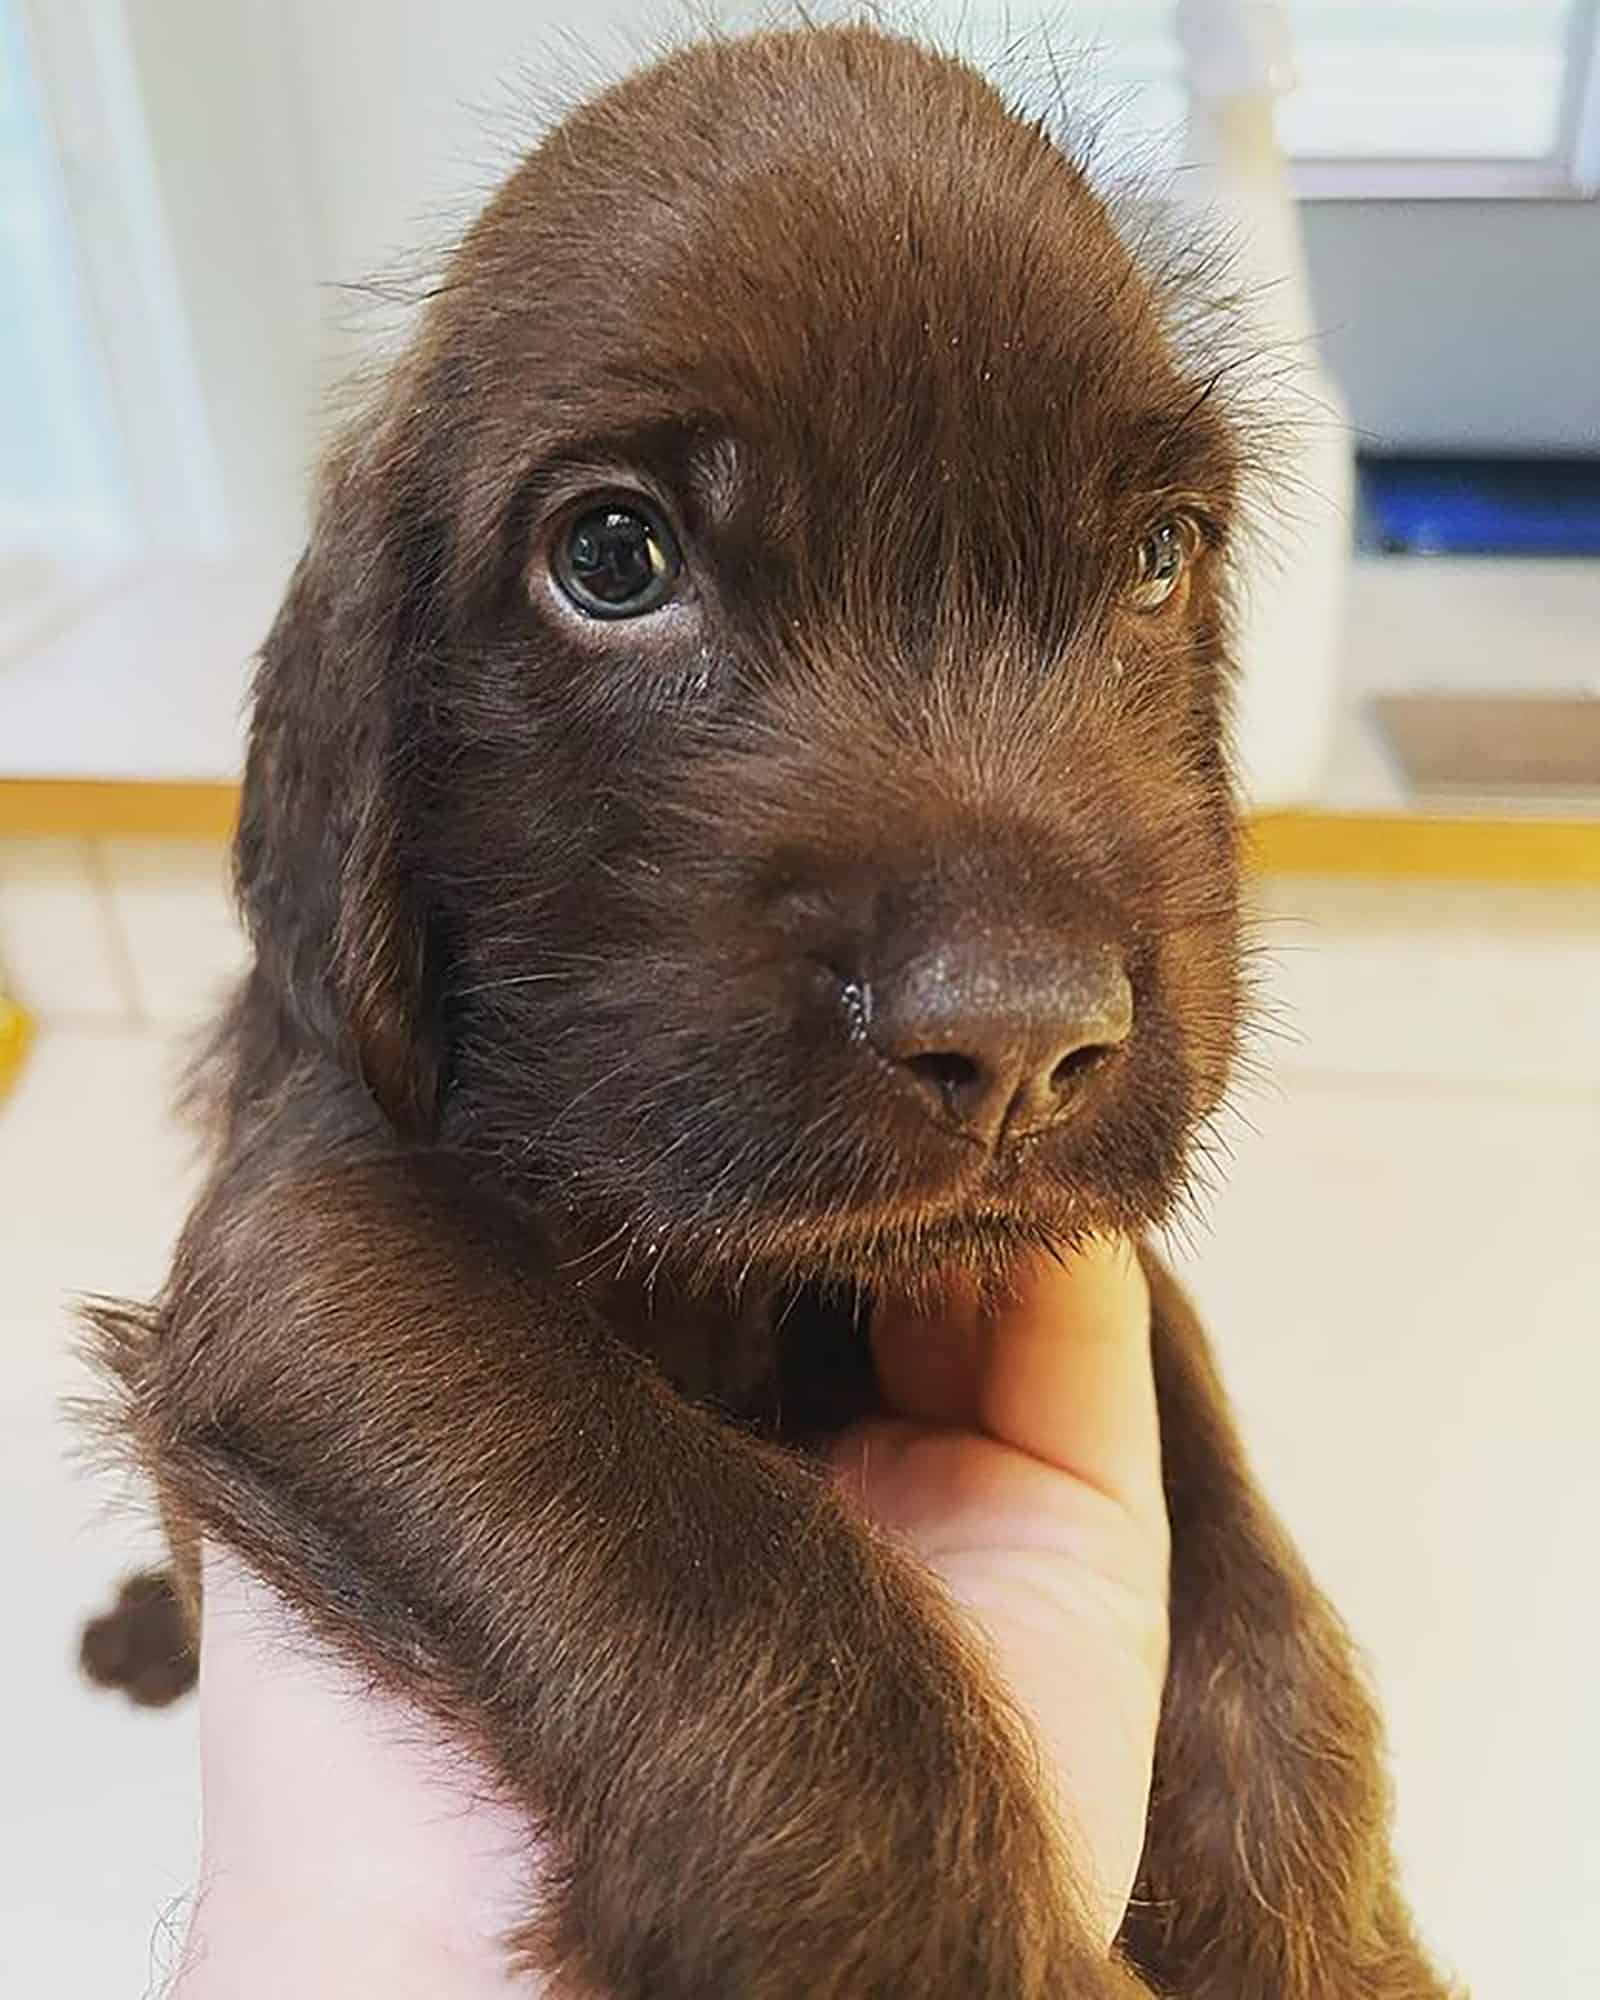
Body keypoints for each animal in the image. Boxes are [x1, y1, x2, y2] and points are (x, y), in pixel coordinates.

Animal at [90, 27, 1464, 2000]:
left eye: (1157, 555)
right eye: (613, 557)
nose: (1020, 1037)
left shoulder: (1091, 1252)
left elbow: (1240, 1545)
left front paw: (1325, 1933)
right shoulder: (313, 1223)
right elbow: (705, 1545)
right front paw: (935, 1933)